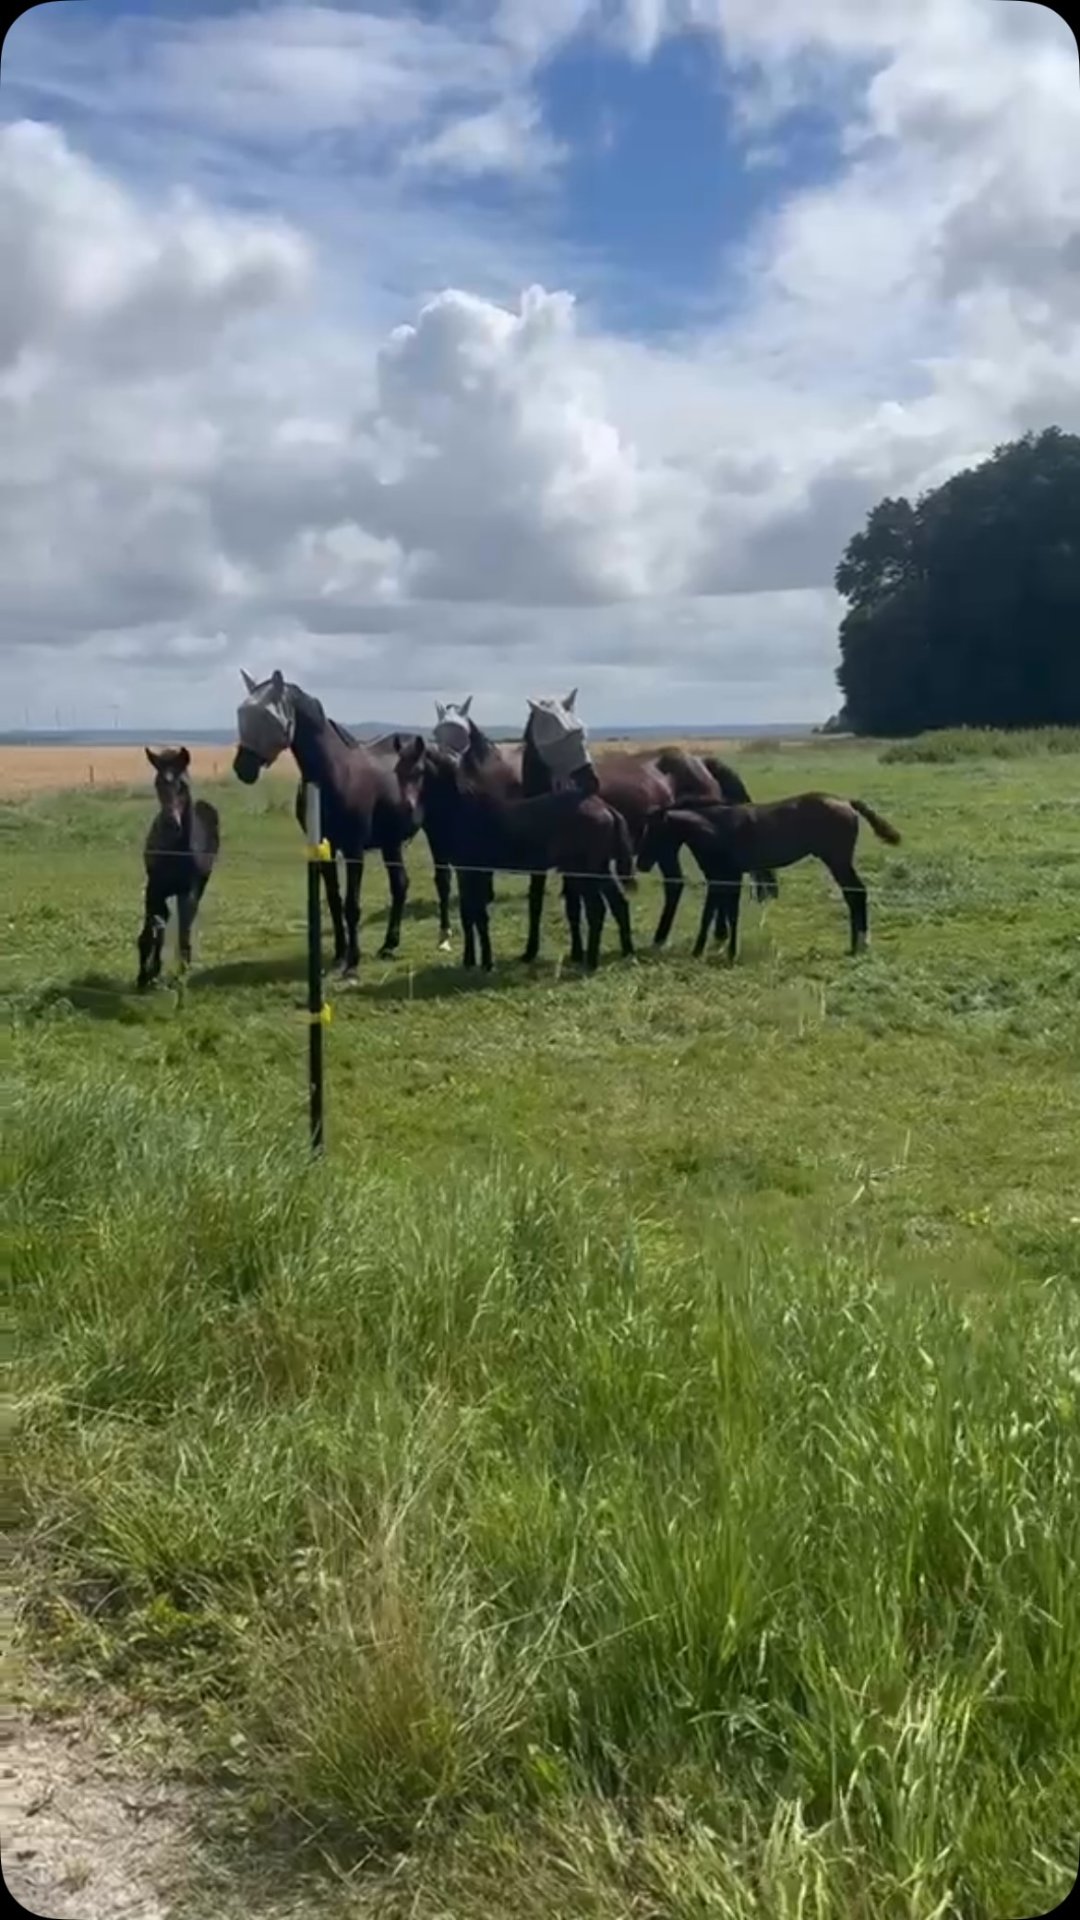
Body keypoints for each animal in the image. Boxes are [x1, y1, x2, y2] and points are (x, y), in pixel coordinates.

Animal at [136, 747, 220, 990]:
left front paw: (179, 975)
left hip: (199, 887)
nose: (170, 824)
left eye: (183, 784)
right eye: (157, 783)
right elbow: (151, 932)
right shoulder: (154, 887)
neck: (175, 851)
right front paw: (144, 976)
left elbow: (183, 933)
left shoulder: (188, 891)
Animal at [232, 671, 425, 978]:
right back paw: (388, 946)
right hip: (391, 843)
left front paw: (353, 963)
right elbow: (334, 901)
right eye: (242, 713)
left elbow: (351, 905)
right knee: (400, 885)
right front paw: (338, 956)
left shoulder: (354, 849)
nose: (243, 768)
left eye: (269, 717)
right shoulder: (325, 846)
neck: (335, 774)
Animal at [519, 690, 779, 955]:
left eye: (580, 731)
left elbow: (573, 905)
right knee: (679, 884)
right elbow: (537, 901)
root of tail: (702, 763)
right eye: (557, 737)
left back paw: (703, 935)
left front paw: (575, 953)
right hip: (665, 847)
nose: (590, 781)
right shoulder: (540, 863)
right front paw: (531, 951)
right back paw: (681, 936)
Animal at [637, 793, 902, 961]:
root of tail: (846, 802)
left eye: (653, 831)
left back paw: (862, 944)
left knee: (857, 892)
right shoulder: (718, 879)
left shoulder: (730, 877)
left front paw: (730, 954)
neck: (717, 829)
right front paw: (699, 952)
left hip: (837, 861)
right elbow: (710, 915)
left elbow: (728, 914)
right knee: (853, 894)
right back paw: (854, 946)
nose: (641, 864)